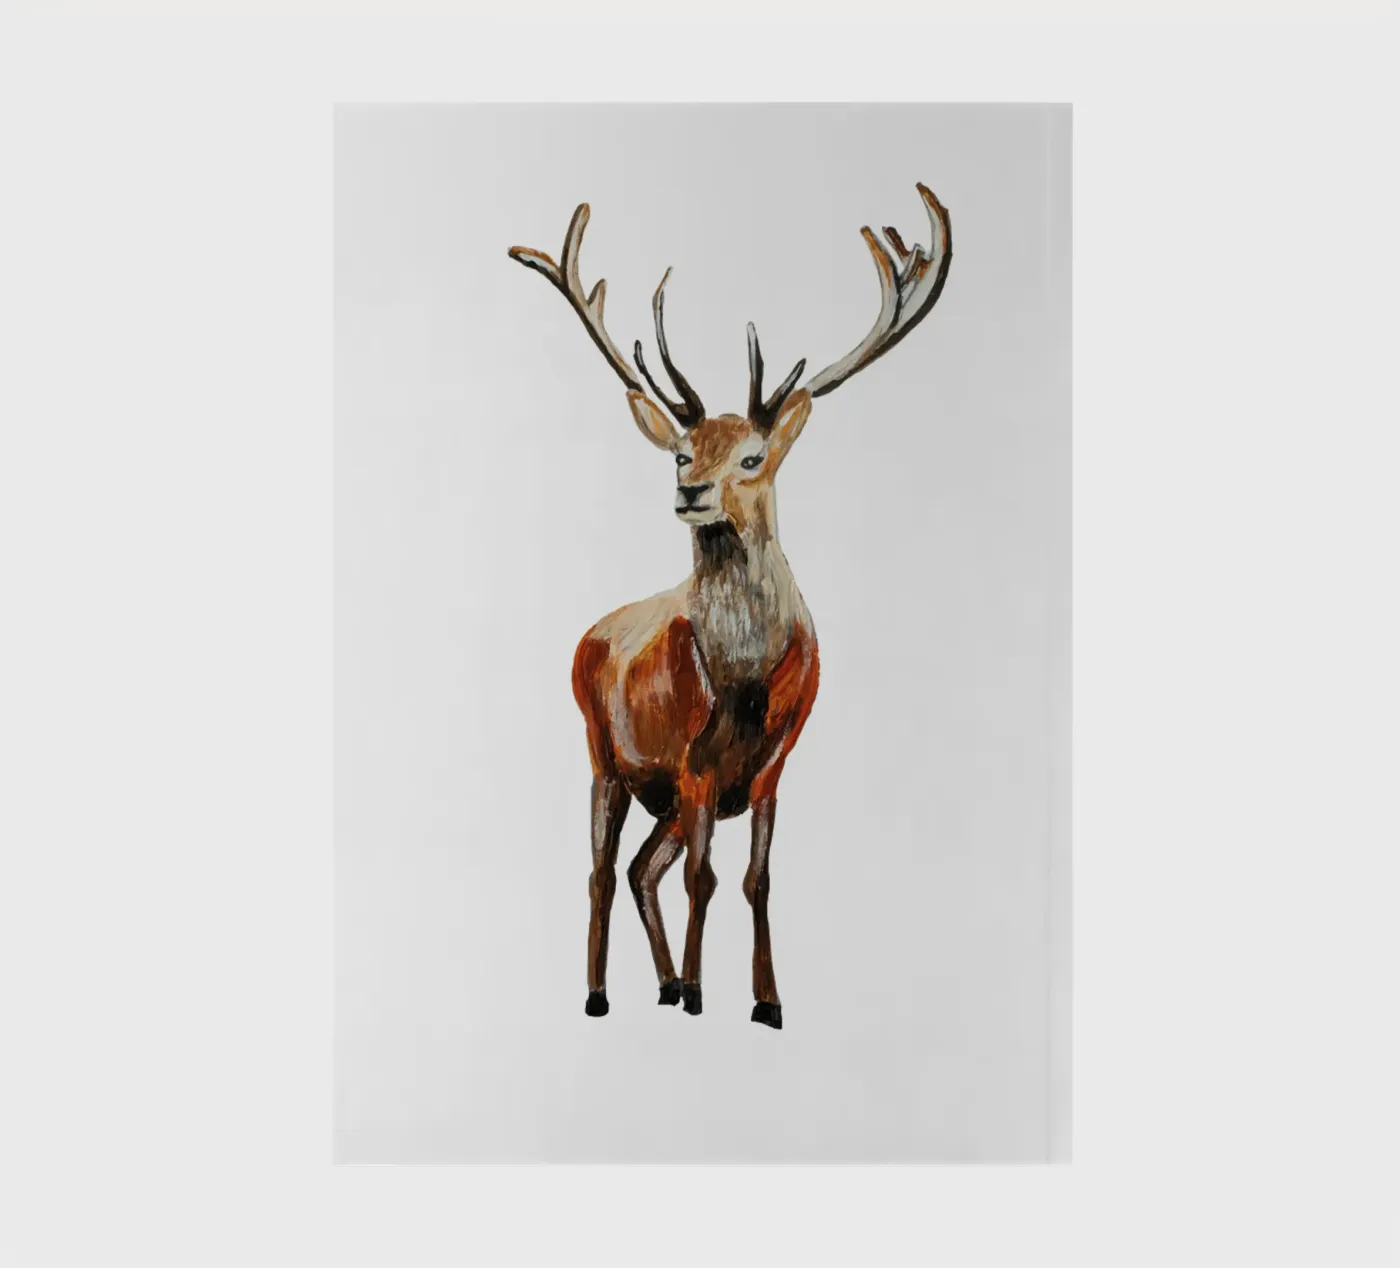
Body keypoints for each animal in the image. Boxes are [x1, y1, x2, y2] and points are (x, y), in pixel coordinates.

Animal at [508, 182, 951, 1028]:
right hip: (603, 752)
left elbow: (755, 879)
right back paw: (601, 993)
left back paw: (657, 982)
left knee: (643, 867)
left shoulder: (774, 765)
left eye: (751, 457)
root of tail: (588, 635)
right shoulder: (692, 764)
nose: (690, 492)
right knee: (605, 871)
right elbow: (703, 879)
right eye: (683, 453)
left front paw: (765, 1000)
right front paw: (698, 993)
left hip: (659, 794)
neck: (743, 679)